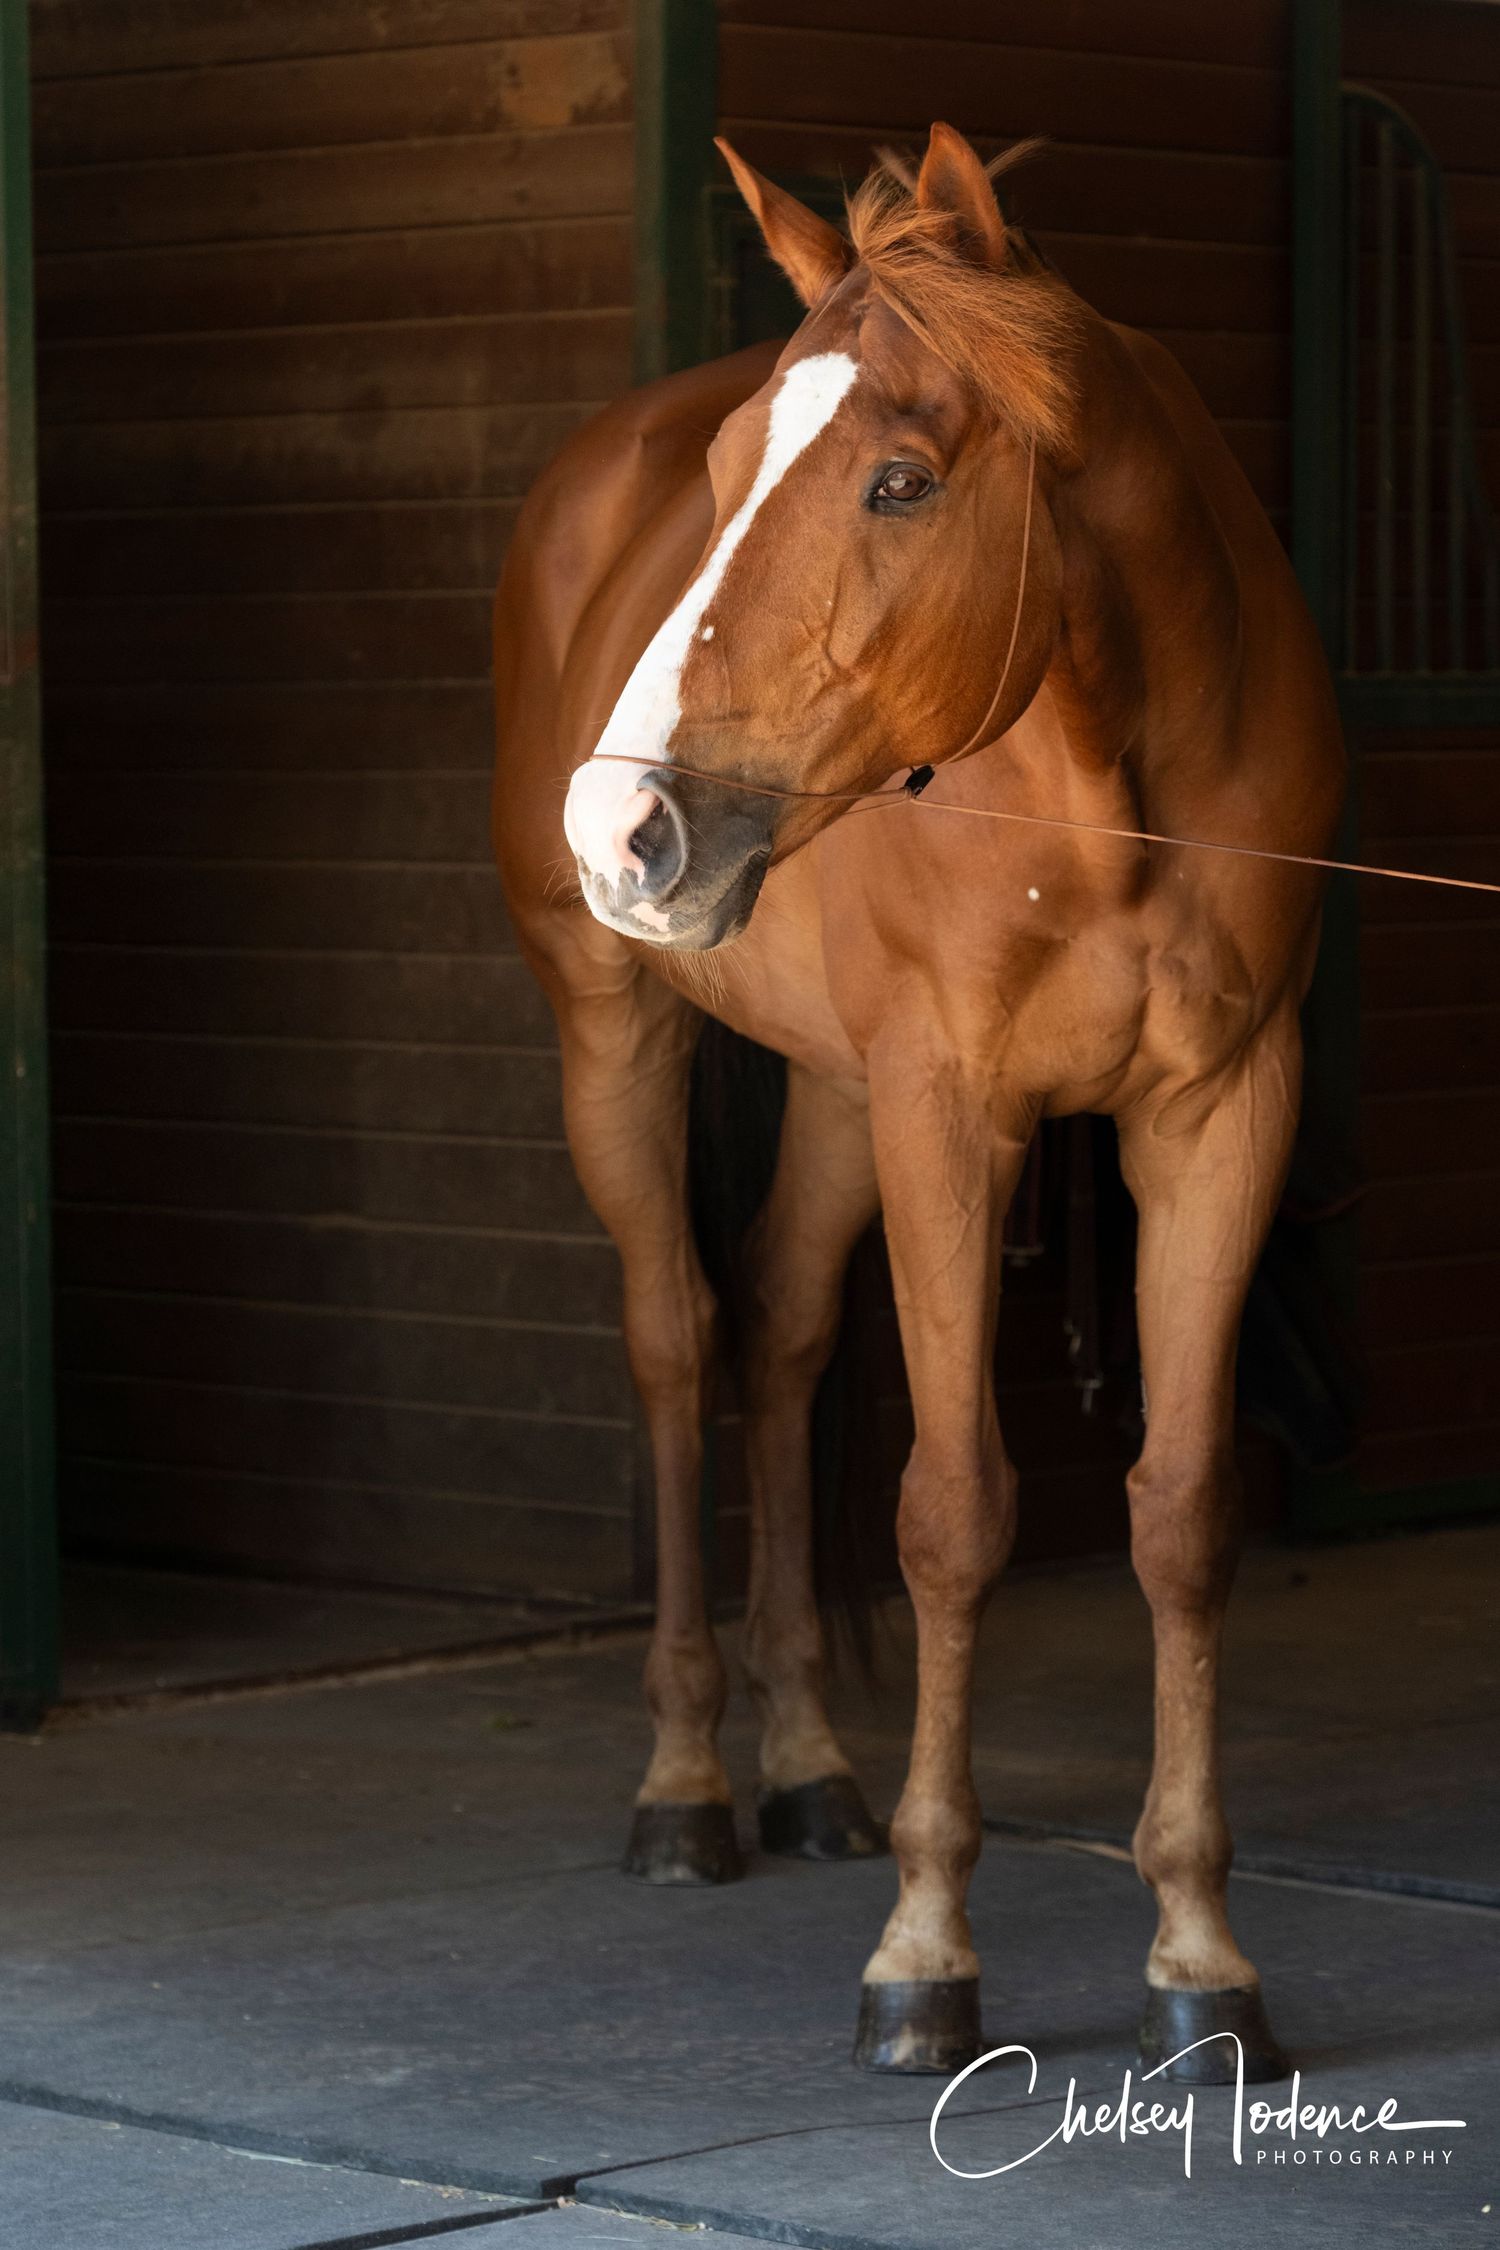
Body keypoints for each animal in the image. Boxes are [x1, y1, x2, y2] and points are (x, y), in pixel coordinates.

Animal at [492, 123, 1344, 2081]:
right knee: (677, 1342)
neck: (1105, 797)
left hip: (828, 1089)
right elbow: (954, 1513)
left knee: (785, 1331)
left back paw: (811, 1766)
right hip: (615, 1035)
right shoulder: (950, 1114)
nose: (622, 823)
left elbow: (1184, 1513)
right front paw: (925, 1953)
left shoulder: (1220, 1115)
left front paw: (1202, 1958)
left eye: (898, 481)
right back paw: (688, 1782)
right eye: (721, 476)